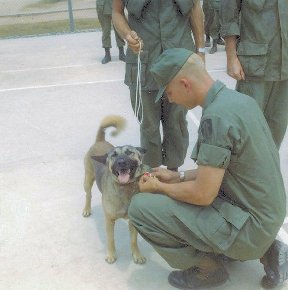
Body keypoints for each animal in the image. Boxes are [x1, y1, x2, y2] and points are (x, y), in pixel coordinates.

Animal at [81, 114, 148, 264]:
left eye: (130, 152)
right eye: (114, 155)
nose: (121, 162)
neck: (124, 188)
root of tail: (100, 140)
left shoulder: (133, 221)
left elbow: (133, 241)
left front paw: (137, 255)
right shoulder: (109, 220)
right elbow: (111, 239)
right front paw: (111, 255)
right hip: (87, 179)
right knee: (88, 195)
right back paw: (87, 209)